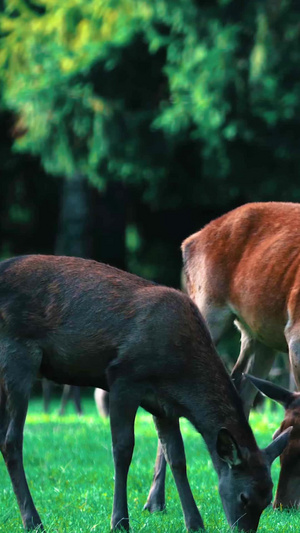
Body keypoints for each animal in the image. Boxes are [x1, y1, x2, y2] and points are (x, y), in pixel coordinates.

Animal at [0, 254, 290, 528]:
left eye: (267, 499)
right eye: (244, 497)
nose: (242, 529)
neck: (180, 375)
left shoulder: (164, 405)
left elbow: (177, 458)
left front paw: (195, 523)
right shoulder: (123, 377)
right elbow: (123, 449)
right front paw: (119, 521)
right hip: (17, 355)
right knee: (11, 440)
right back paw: (33, 520)